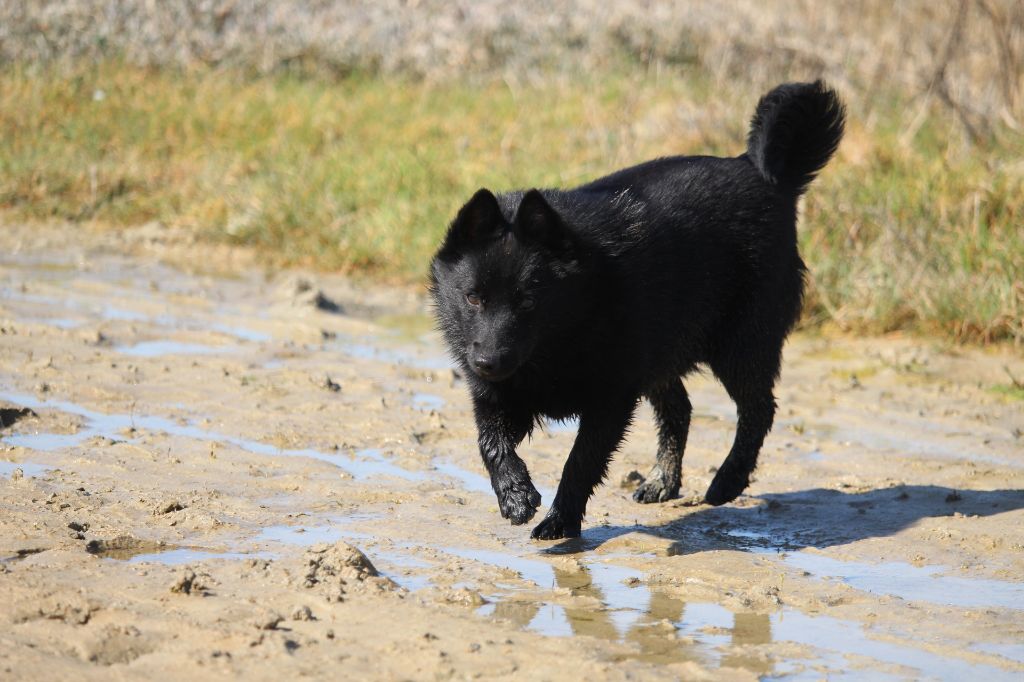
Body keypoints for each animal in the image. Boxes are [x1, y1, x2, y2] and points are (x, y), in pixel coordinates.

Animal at [428, 80, 843, 536]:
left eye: (528, 300)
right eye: (473, 297)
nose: (488, 362)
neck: (574, 316)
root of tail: (760, 171)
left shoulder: (610, 400)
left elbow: (580, 463)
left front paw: (560, 522)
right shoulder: (501, 396)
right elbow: (489, 442)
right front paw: (515, 496)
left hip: (742, 344)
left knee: (758, 409)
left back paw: (727, 482)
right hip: (664, 353)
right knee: (680, 409)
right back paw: (663, 481)